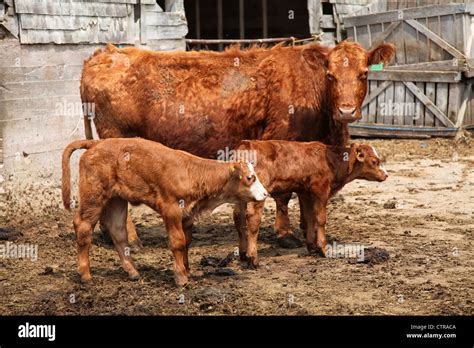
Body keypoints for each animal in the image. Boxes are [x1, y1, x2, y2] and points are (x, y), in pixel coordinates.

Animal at [60, 137, 266, 286]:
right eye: (250, 177)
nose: (265, 193)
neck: (191, 173)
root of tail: (96, 143)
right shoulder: (171, 210)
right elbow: (178, 242)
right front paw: (181, 278)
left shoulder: (187, 214)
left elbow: (186, 242)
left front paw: (186, 270)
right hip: (93, 197)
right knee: (83, 226)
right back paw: (85, 276)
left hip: (116, 199)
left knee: (118, 231)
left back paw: (133, 272)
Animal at [79, 40, 394, 249]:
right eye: (330, 75)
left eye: (364, 73)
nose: (346, 110)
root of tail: (106, 53)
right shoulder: (279, 142)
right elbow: (285, 195)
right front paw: (285, 234)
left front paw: (308, 228)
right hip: (117, 142)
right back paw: (130, 238)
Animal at [231, 140, 386, 266]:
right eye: (374, 161)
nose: (386, 175)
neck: (331, 160)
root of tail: (246, 144)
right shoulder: (321, 190)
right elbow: (321, 219)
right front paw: (323, 249)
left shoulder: (305, 192)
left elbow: (310, 217)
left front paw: (312, 246)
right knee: (253, 220)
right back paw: (253, 258)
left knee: (238, 218)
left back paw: (243, 254)